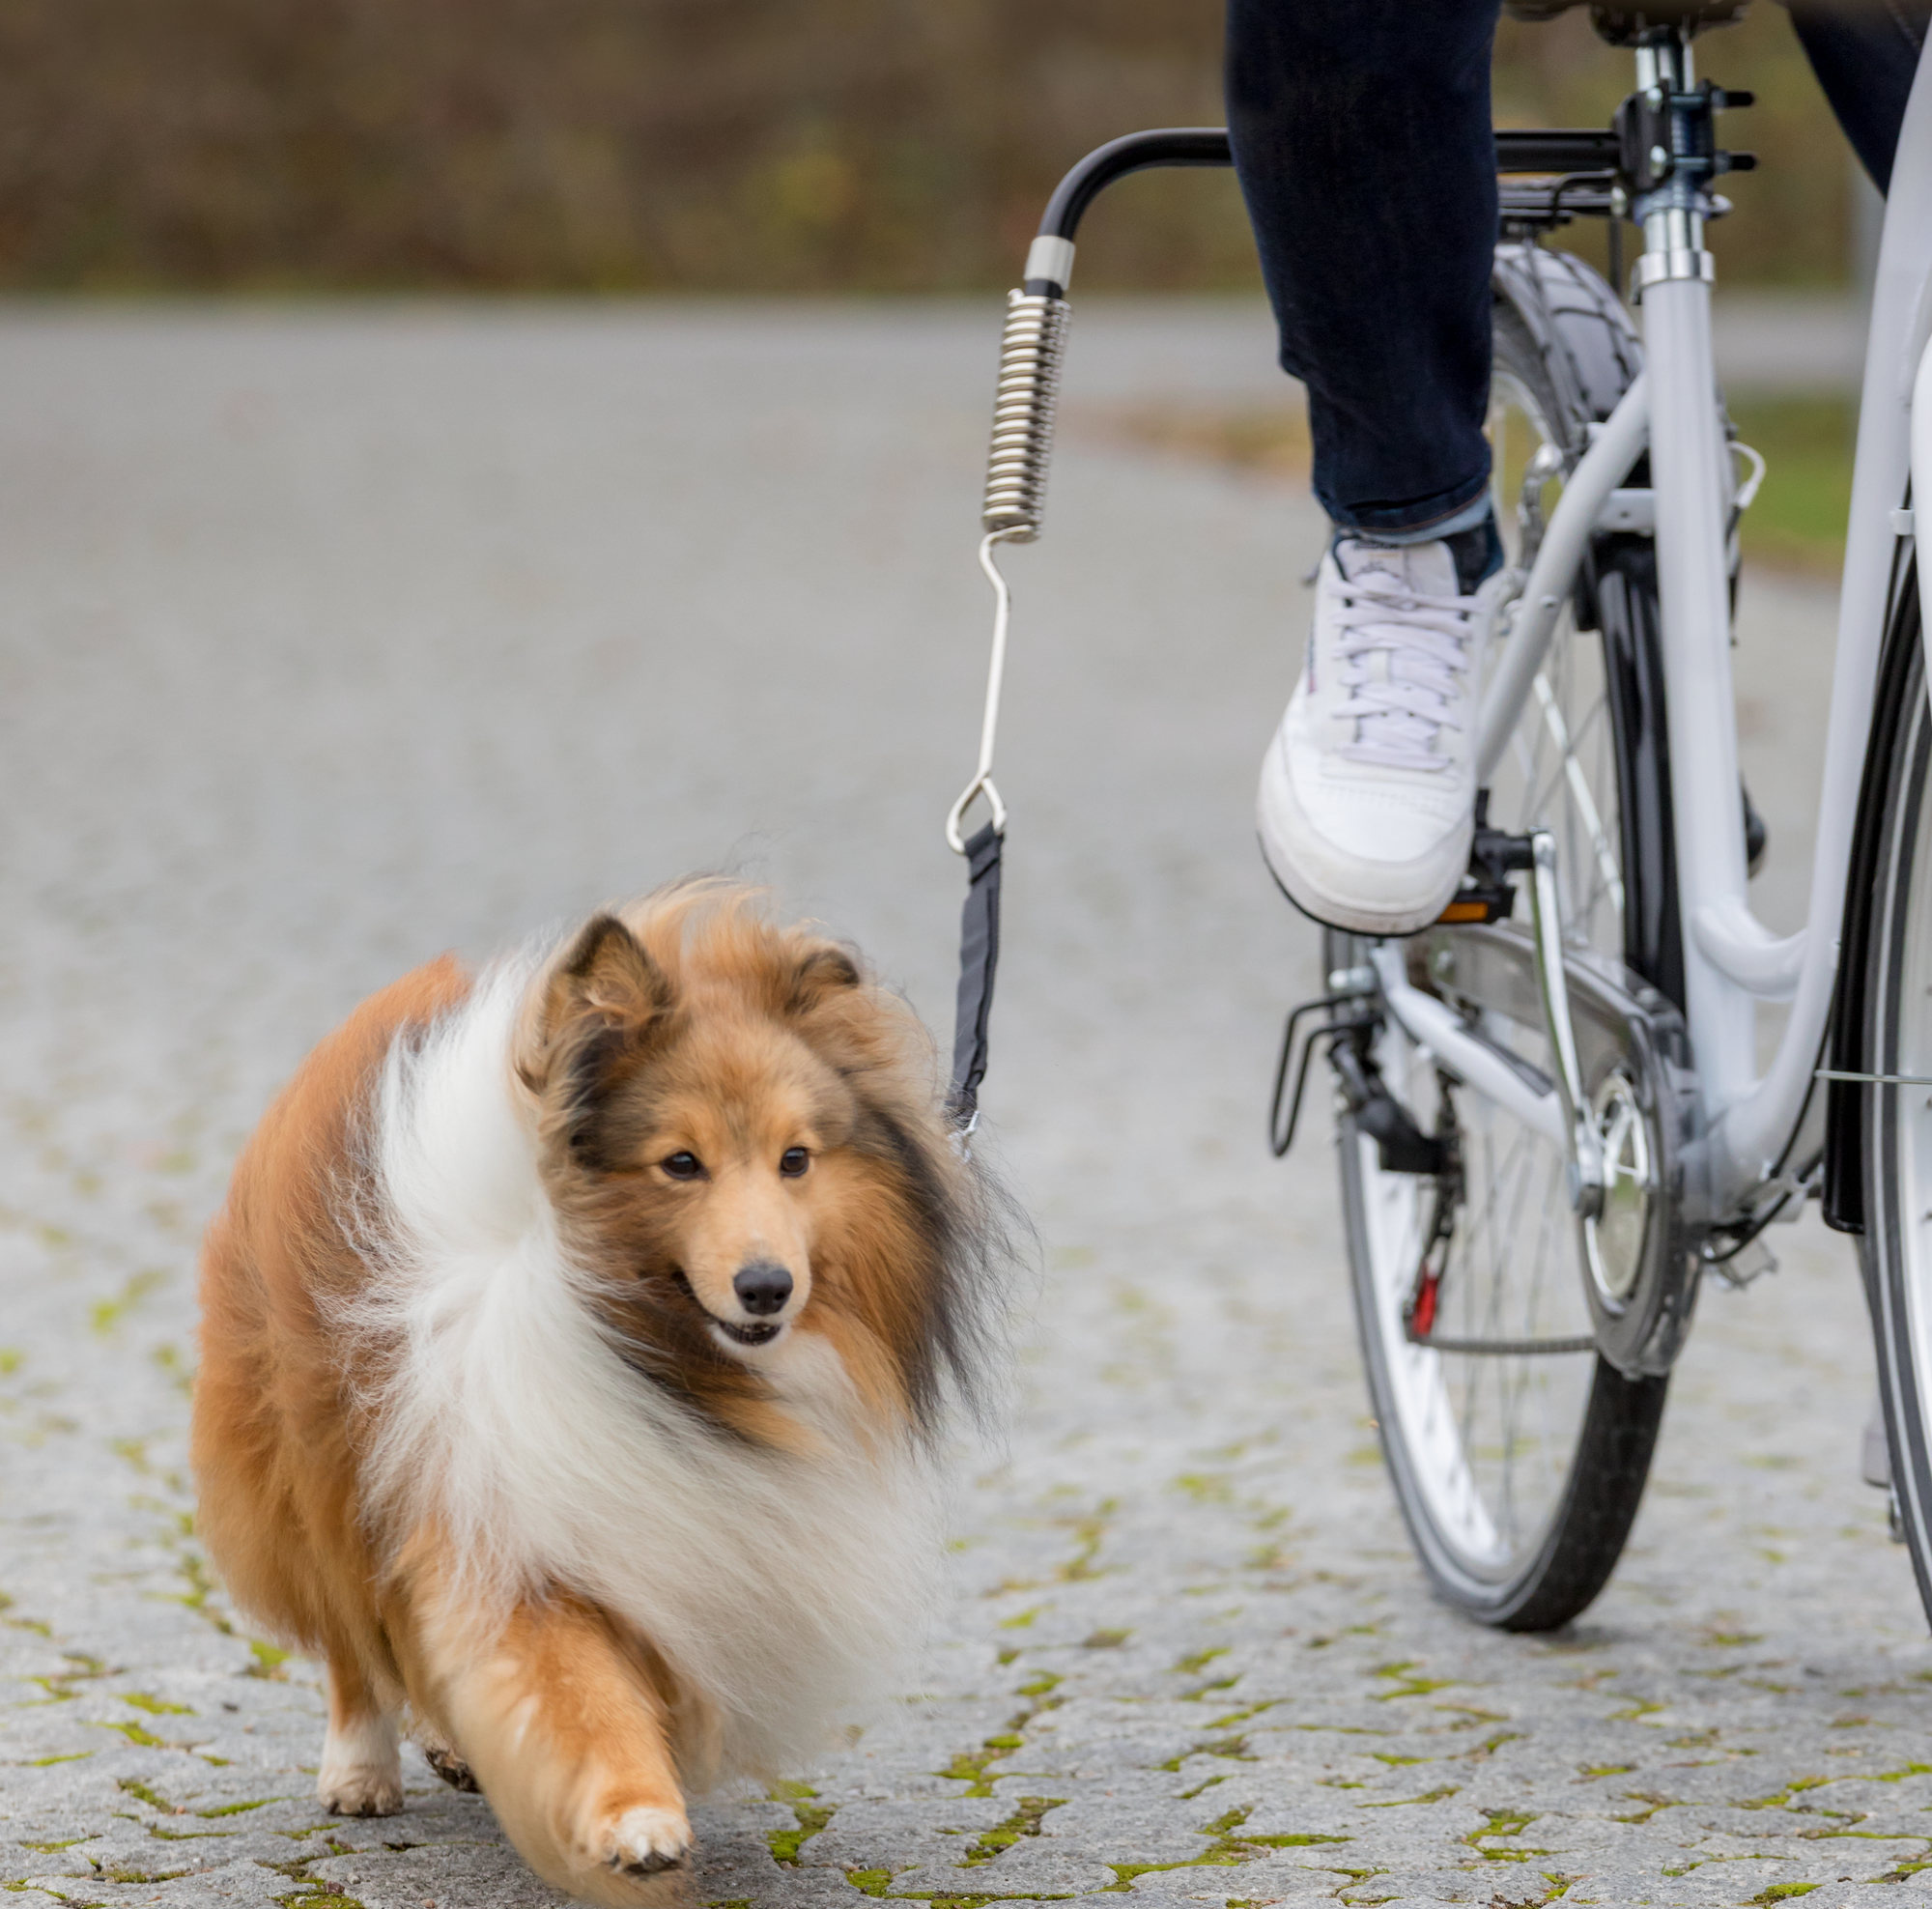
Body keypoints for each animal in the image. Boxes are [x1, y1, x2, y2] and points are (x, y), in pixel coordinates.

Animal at [194, 889, 1005, 1901]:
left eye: (797, 1159)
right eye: (680, 1162)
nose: (768, 1288)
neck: (659, 1356)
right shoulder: (516, 1520)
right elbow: (579, 1690)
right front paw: (636, 1821)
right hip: (313, 1456)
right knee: (350, 1628)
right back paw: (360, 1771)